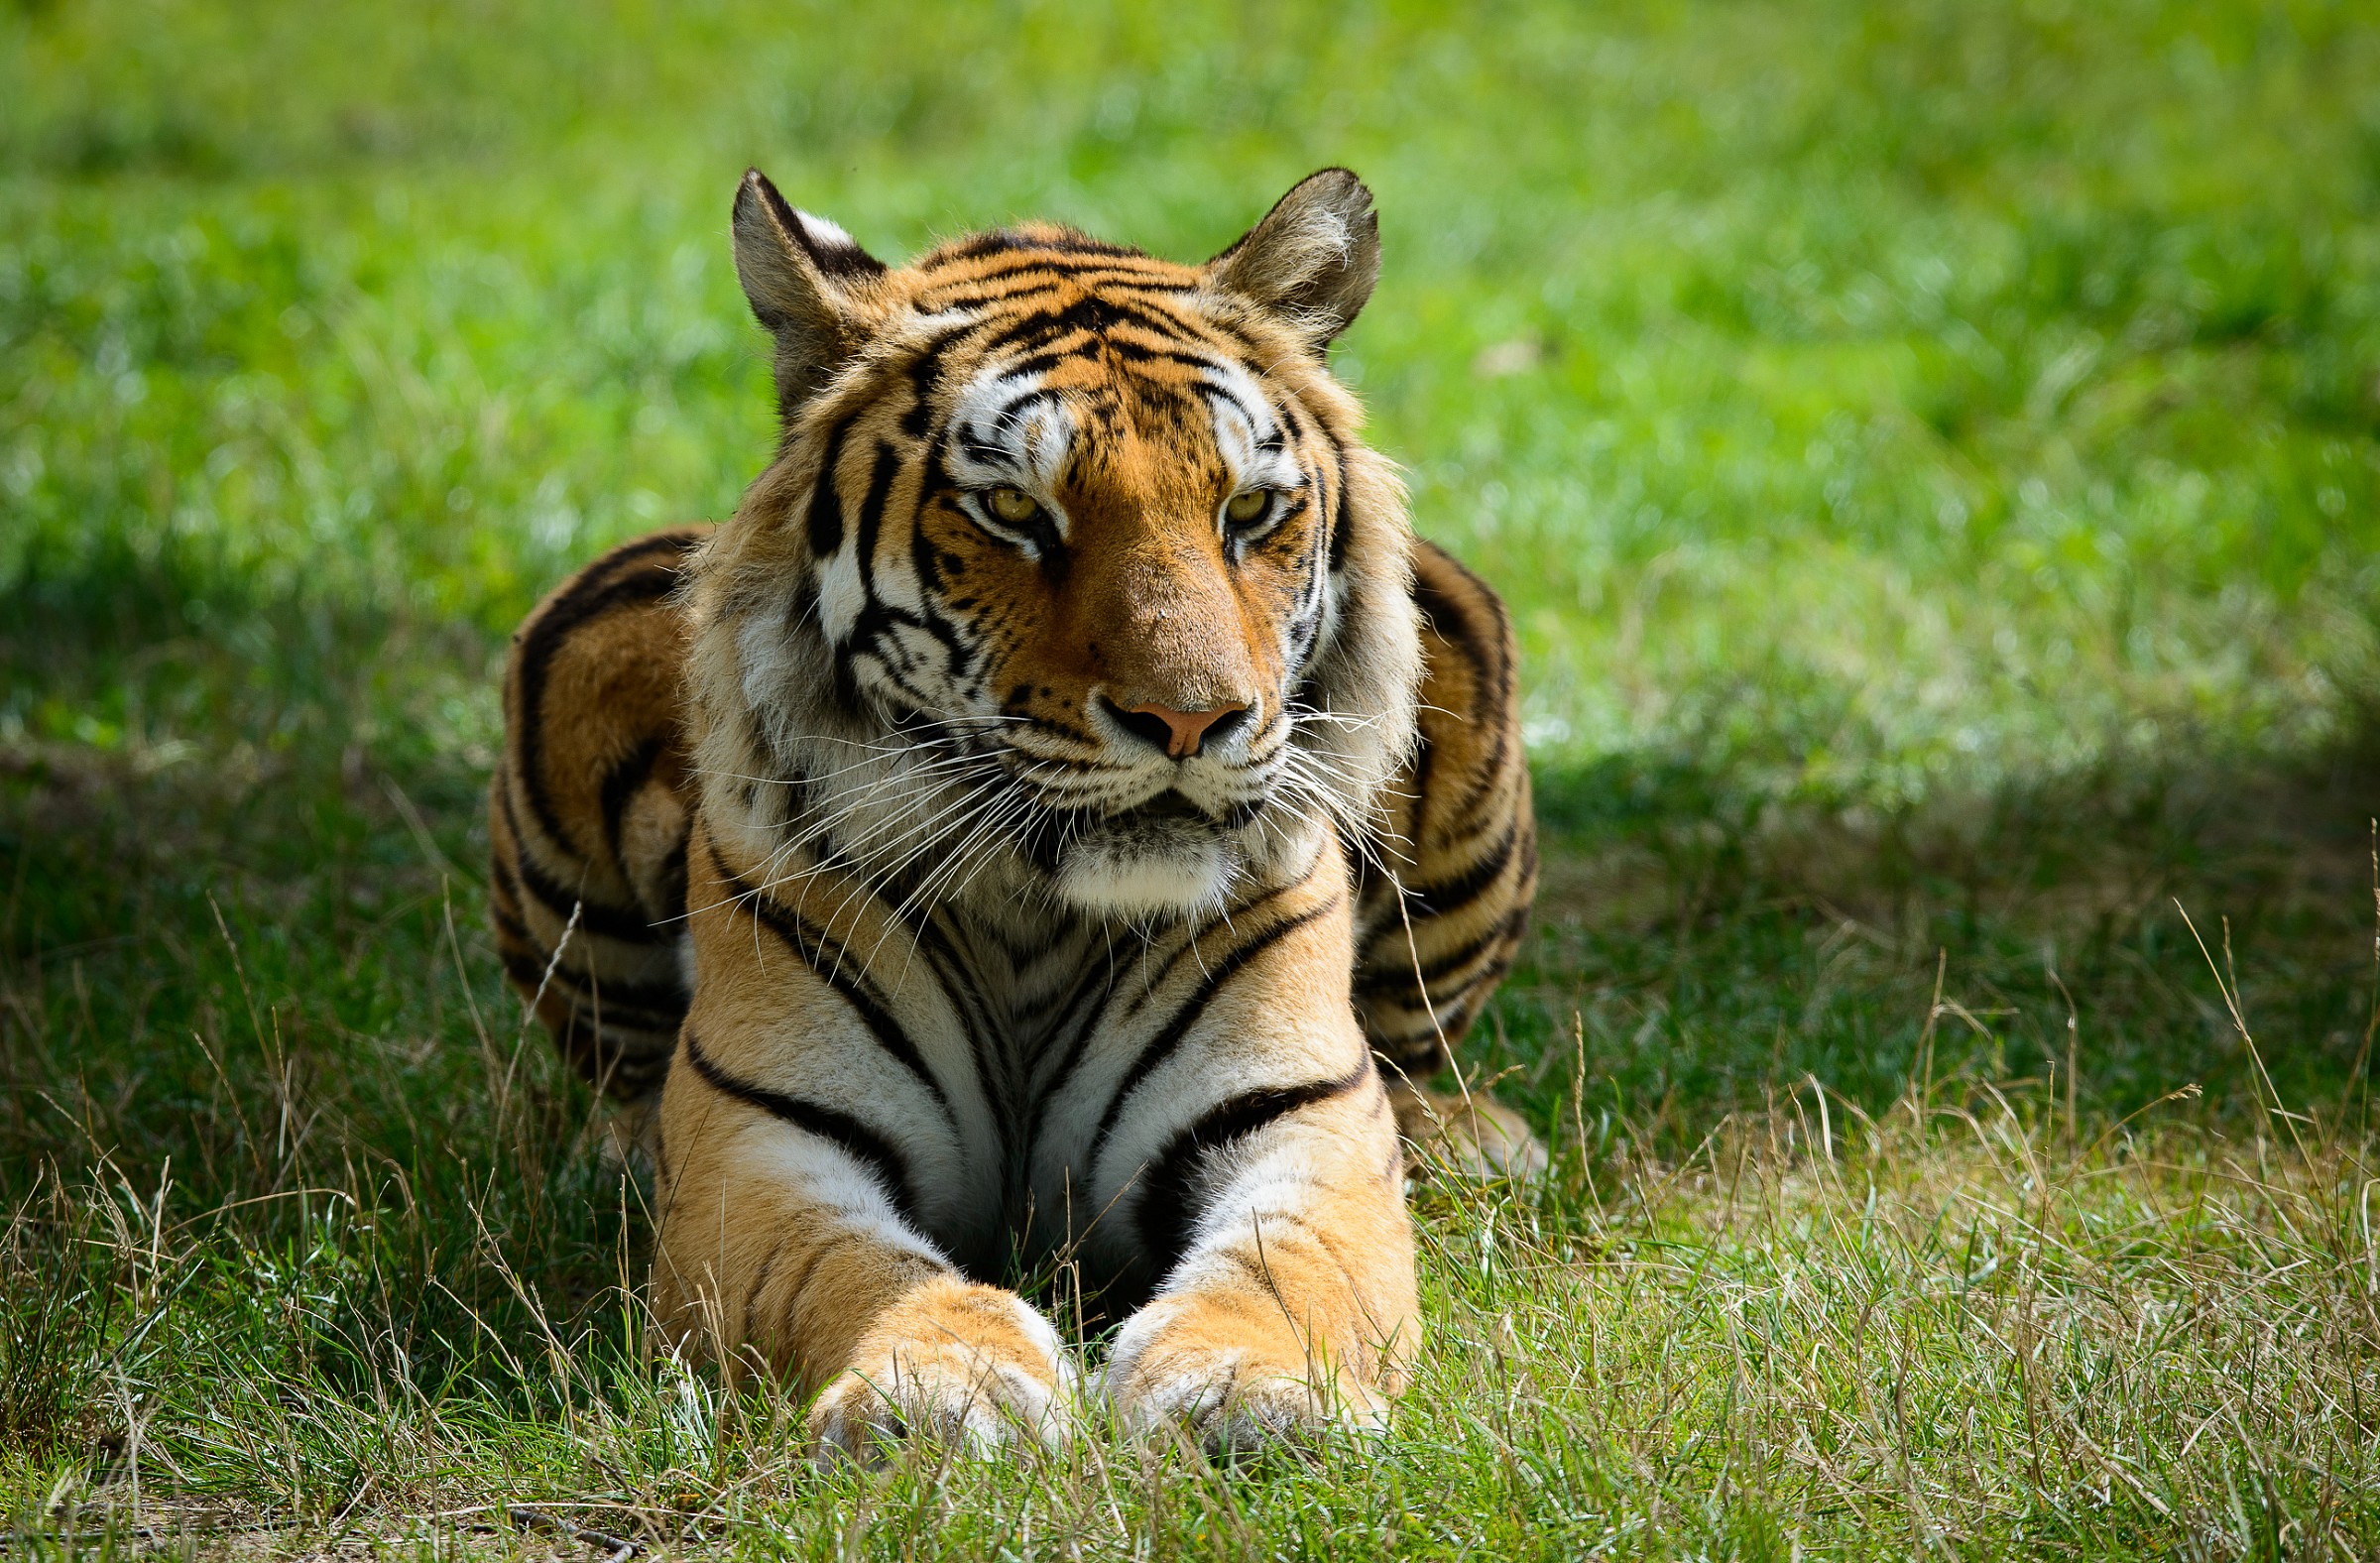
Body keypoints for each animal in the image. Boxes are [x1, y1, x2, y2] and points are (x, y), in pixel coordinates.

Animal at [485, 167, 1540, 1456]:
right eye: (1010, 510)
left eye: (1247, 510)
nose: (1191, 718)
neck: (1037, 914)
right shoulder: (764, 1145)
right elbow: (850, 1272)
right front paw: (939, 1383)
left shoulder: (1302, 1122)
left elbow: (1293, 1270)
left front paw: (1251, 1389)